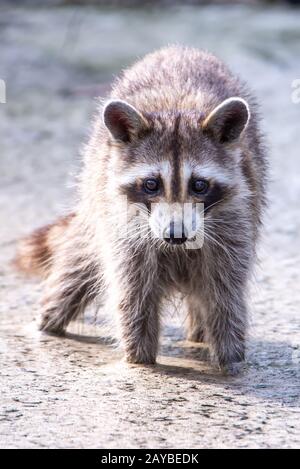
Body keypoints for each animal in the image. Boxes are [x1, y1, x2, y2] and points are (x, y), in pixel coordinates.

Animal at [17, 46, 268, 372]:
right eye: (151, 184)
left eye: (199, 185)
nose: (175, 235)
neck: (177, 109)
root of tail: (179, 49)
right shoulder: (123, 228)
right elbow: (133, 292)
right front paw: (139, 358)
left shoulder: (235, 221)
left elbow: (225, 293)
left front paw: (232, 359)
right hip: (95, 195)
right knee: (81, 260)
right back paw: (50, 317)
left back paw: (200, 334)